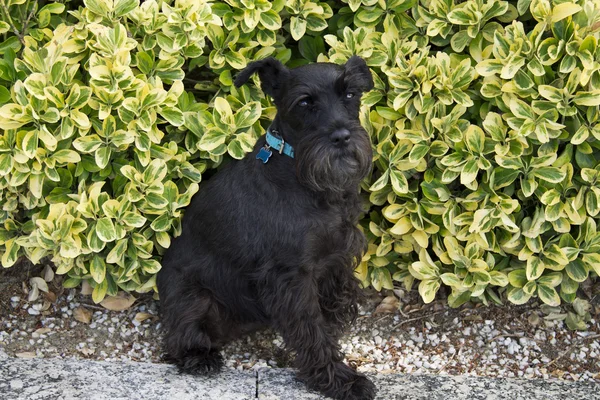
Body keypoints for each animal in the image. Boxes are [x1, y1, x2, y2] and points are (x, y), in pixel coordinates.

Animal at [157, 54, 378, 398]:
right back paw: (199, 356)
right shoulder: (291, 276)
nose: (342, 137)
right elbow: (310, 328)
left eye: (351, 94)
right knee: (181, 333)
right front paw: (340, 379)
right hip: (193, 296)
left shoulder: (336, 252)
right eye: (304, 102)